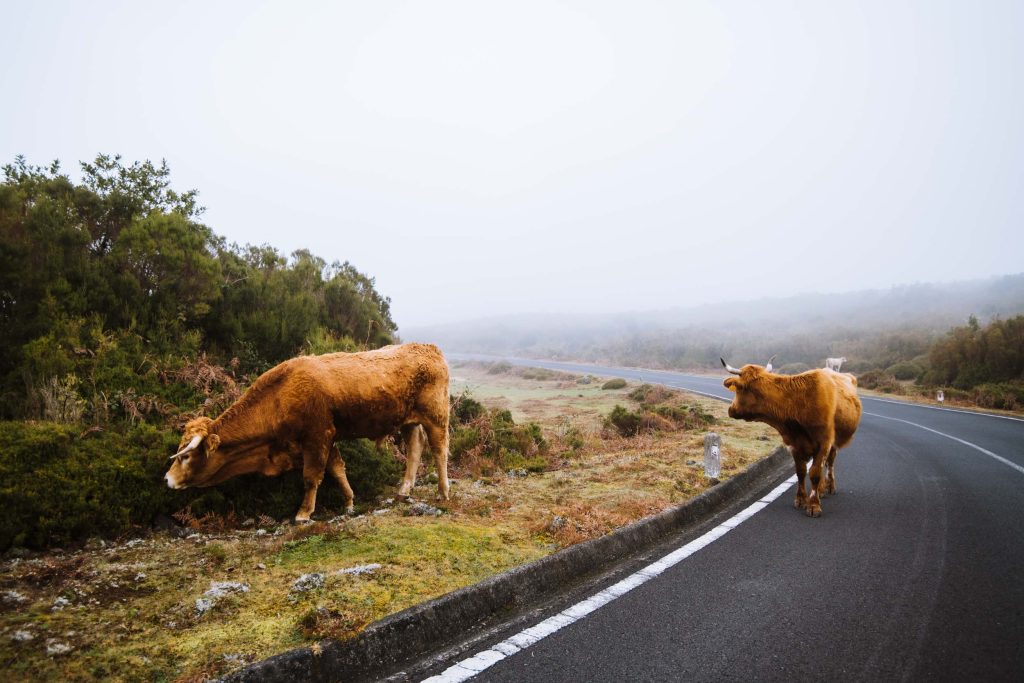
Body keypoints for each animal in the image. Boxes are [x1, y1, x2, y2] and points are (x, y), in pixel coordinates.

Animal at [165, 344, 450, 520]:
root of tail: (428, 348)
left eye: (186, 456)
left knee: (439, 450)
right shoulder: (326, 438)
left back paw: (443, 492)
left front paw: (303, 512)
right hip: (409, 421)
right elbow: (337, 468)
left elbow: (312, 476)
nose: (167, 479)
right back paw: (404, 490)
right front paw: (349, 502)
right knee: (415, 449)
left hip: (436, 416)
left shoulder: (317, 437)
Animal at [724, 358, 860, 518]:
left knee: (830, 463)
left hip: (834, 444)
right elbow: (801, 472)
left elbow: (814, 473)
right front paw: (801, 500)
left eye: (739, 389)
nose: (730, 409)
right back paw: (821, 490)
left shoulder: (824, 443)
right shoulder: (794, 444)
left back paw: (829, 486)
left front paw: (813, 505)